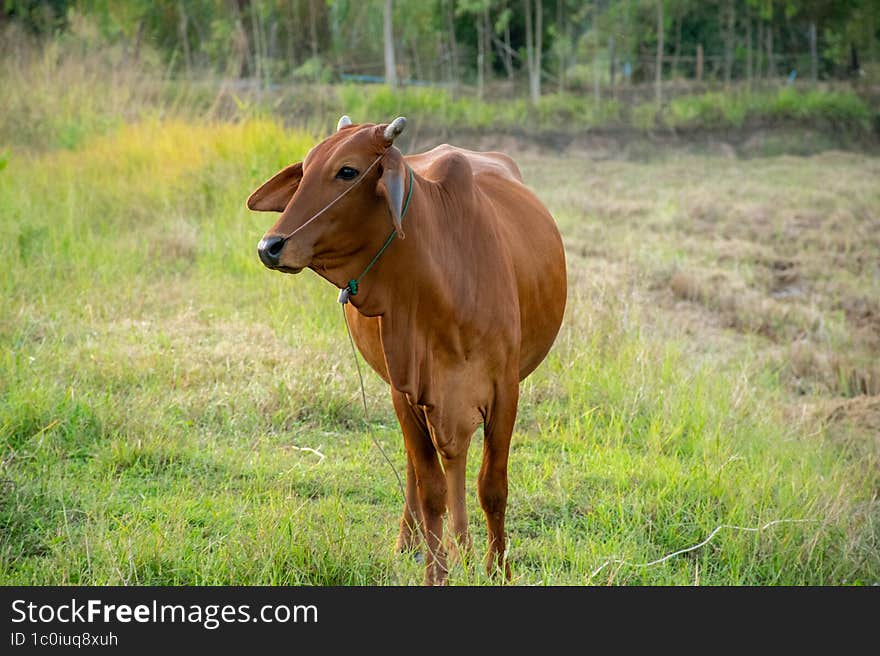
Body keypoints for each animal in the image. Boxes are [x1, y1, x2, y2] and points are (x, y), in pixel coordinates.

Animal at [248, 116, 568, 584]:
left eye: (347, 170)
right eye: (304, 169)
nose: (270, 246)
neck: (445, 278)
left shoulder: (504, 390)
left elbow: (492, 487)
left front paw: (498, 571)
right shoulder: (408, 392)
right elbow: (430, 487)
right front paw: (437, 572)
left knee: (457, 460)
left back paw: (464, 547)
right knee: (423, 471)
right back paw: (420, 544)